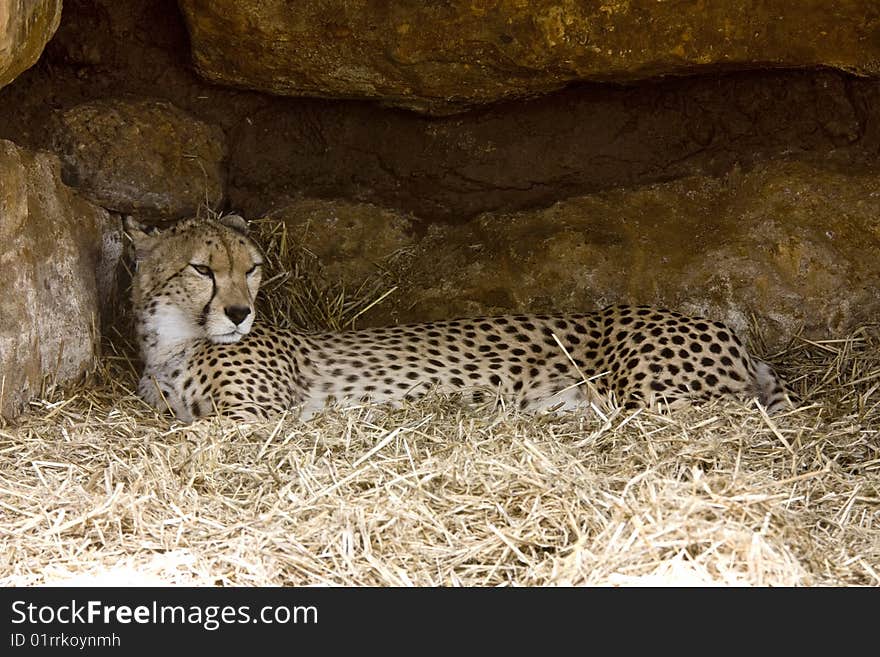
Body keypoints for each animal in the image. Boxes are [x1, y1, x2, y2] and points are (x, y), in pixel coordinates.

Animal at [125, 215, 792, 420]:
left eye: (254, 267)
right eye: (202, 268)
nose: (241, 313)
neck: (173, 341)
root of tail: (731, 333)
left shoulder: (259, 416)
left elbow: (193, 430)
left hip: (655, 389)